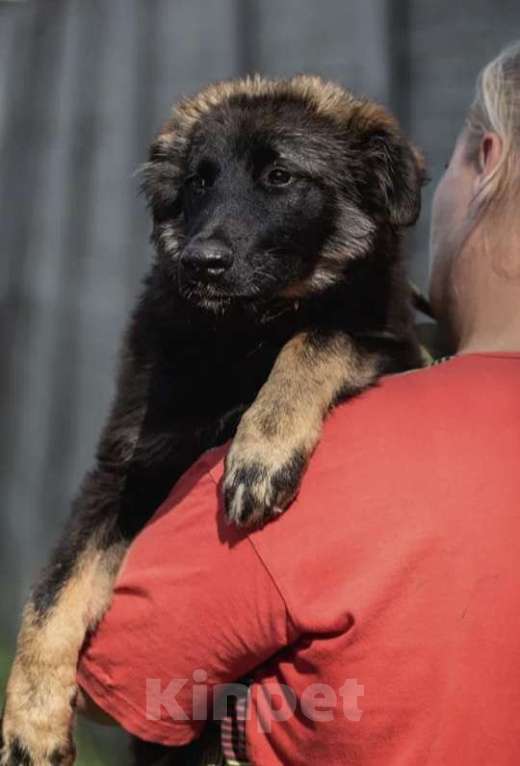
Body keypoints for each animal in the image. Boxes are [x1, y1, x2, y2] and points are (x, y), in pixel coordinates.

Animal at [2, 73, 424, 766]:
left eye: (280, 176)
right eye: (200, 182)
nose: (200, 263)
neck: (243, 336)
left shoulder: (387, 344)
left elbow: (316, 337)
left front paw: (262, 452)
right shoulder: (127, 465)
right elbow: (56, 586)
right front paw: (29, 719)